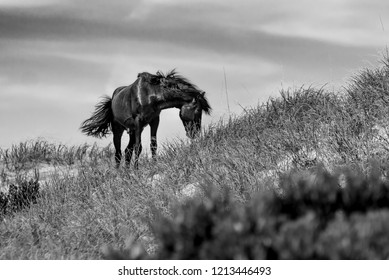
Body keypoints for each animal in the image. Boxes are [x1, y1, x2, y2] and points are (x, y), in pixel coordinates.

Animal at [79, 70, 211, 168]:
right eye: (198, 111)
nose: (195, 134)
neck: (150, 94)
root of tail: (112, 99)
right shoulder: (139, 121)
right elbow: (139, 147)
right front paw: (136, 169)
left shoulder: (154, 120)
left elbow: (153, 144)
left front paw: (154, 165)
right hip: (118, 129)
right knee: (118, 154)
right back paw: (118, 174)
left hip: (133, 130)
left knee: (127, 151)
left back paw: (126, 173)